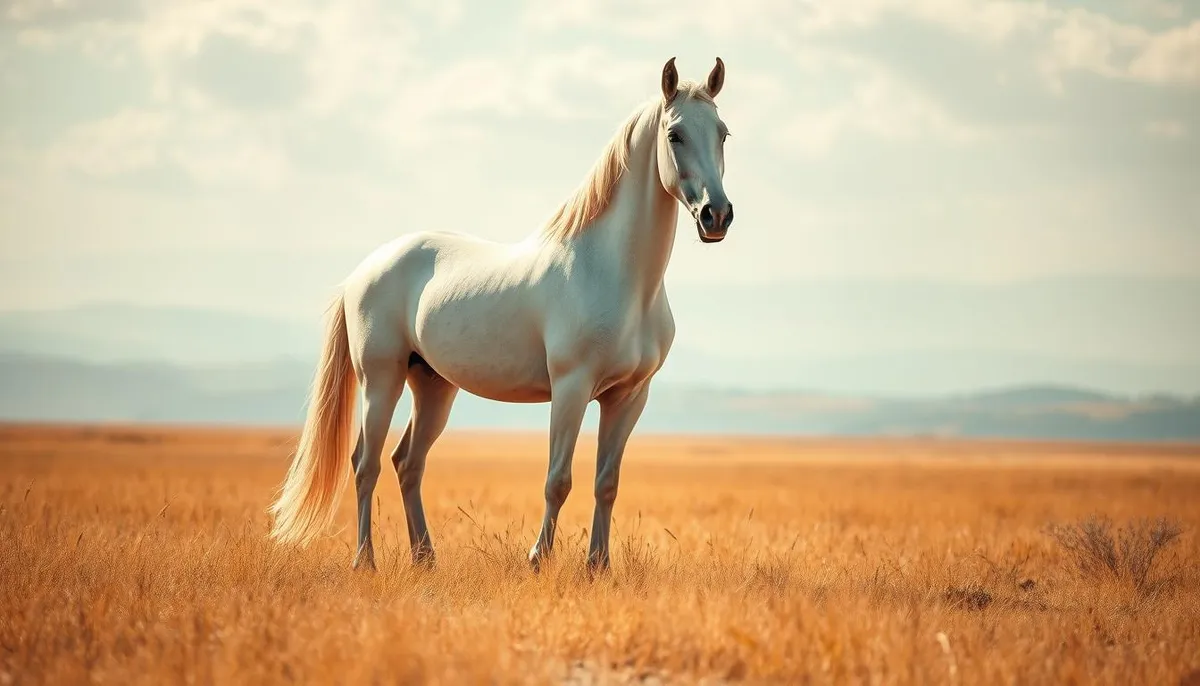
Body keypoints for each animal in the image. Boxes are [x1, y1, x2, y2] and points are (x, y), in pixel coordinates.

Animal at [267, 56, 736, 573]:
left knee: (407, 463)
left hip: (433, 386)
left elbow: (606, 484)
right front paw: (538, 560)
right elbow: (558, 480)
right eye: (675, 134)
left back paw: (425, 558)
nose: (716, 215)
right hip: (381, 380)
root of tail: (361, 272)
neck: (618, 277)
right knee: (365, 464)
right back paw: (364, 561)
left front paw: (598, 567)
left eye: (723, 133)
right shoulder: (571, 389)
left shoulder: (629, 397)